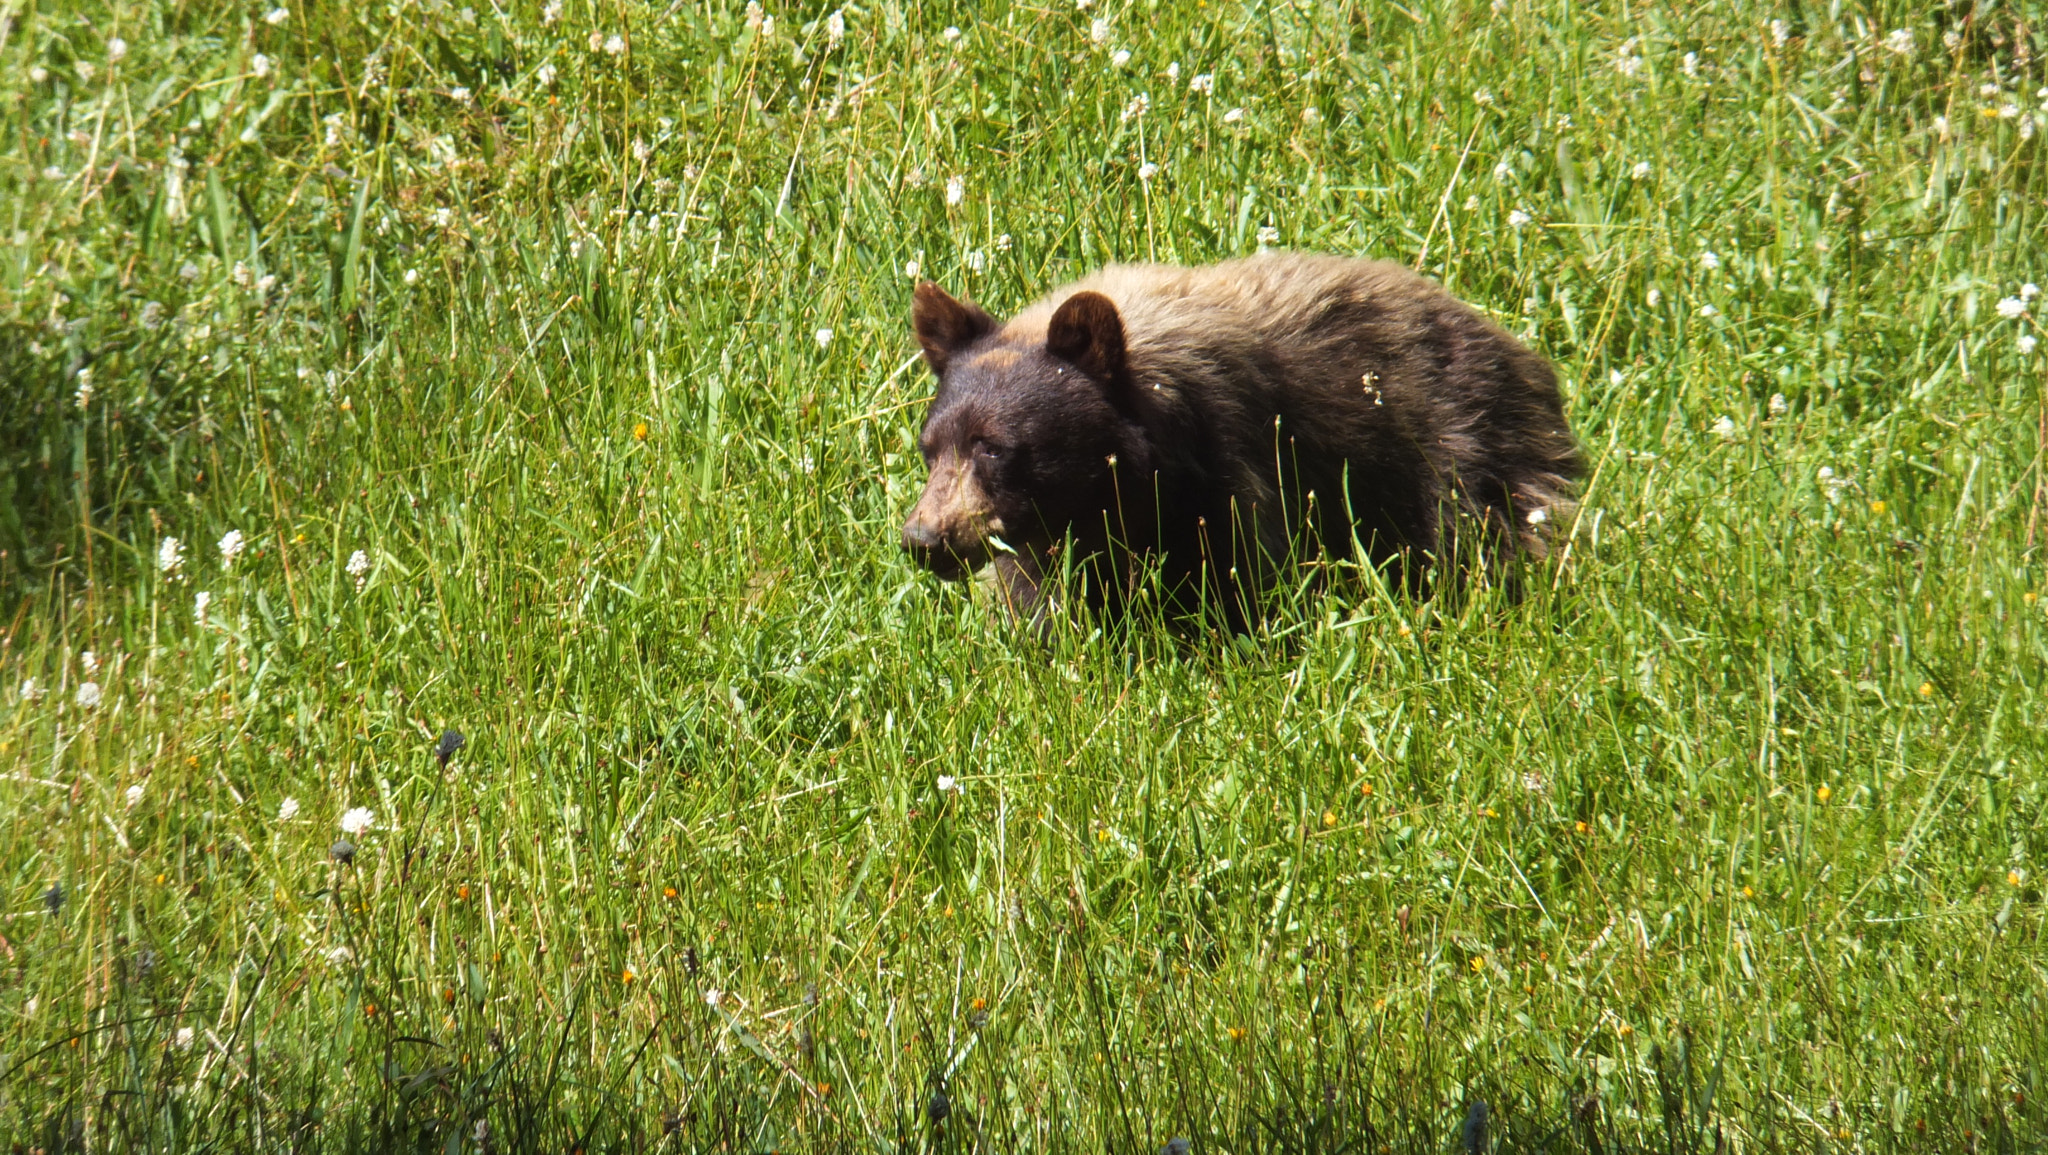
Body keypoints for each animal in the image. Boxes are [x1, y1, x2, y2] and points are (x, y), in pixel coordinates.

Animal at [897, 251, 1581, 622]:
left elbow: (1238, 577)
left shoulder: (1230, 469)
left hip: (1467, 453)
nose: (924, 539)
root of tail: (1522, 353)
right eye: (930, 448)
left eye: (994, 446)